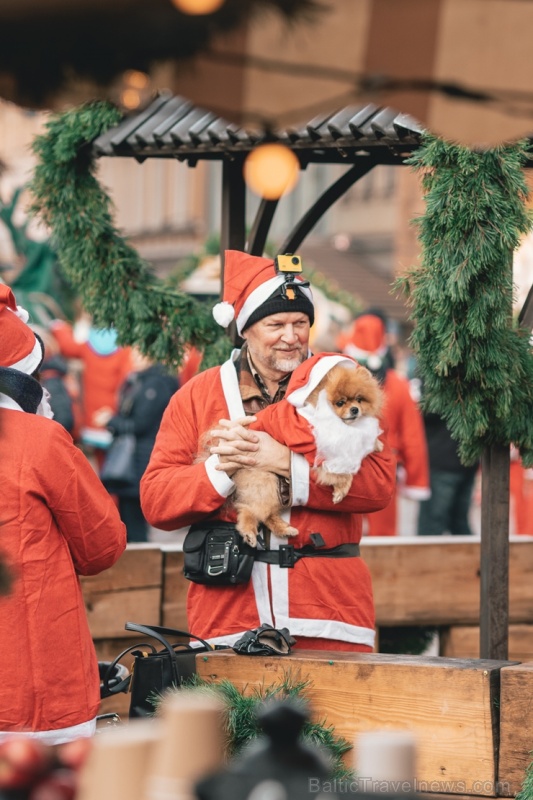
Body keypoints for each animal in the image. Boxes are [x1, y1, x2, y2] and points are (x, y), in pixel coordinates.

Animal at [229, 366, 382, 548]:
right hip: (264, 480)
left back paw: (285, 530)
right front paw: (341, 490)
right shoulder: (316, 450)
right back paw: (249, 532)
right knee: (250, 508)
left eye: (359, 400)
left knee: (265, 513)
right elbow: (343, 475)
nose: (354, 409)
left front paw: (376, 443)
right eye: (340, 403)